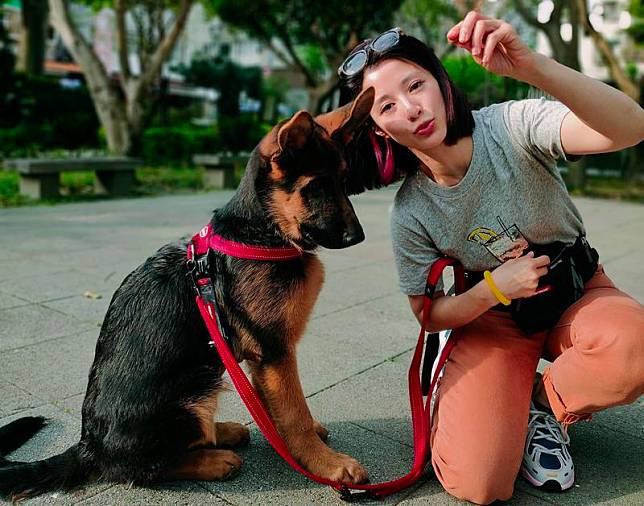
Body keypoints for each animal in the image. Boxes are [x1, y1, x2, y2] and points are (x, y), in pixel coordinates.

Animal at [0, 88, 382, 502]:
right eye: (316, 187)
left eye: (343, 182)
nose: (357, 237)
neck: (260, 232)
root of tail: (89, 447)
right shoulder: (274, 350)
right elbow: (293, 412)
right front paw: (324, 462)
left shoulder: (265, 358)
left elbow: (280, 406)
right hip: (196, 388)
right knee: (140, 470)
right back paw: (214, 459)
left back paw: (222, 433)